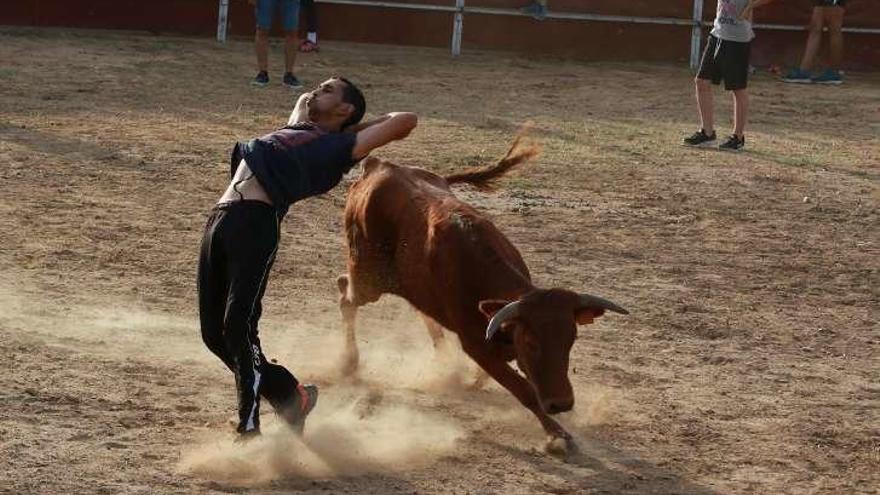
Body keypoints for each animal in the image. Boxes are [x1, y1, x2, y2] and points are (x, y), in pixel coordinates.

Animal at [334, 134, 628, 448]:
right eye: (530, 342)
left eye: (571, 338)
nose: (561, 403)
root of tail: (378, 165)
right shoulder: (475, 345)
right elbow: (523, 389)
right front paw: (557, 435)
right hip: (367, 278)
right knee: (345, 293)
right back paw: (349, 363)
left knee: (419, 309)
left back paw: (444, 362)